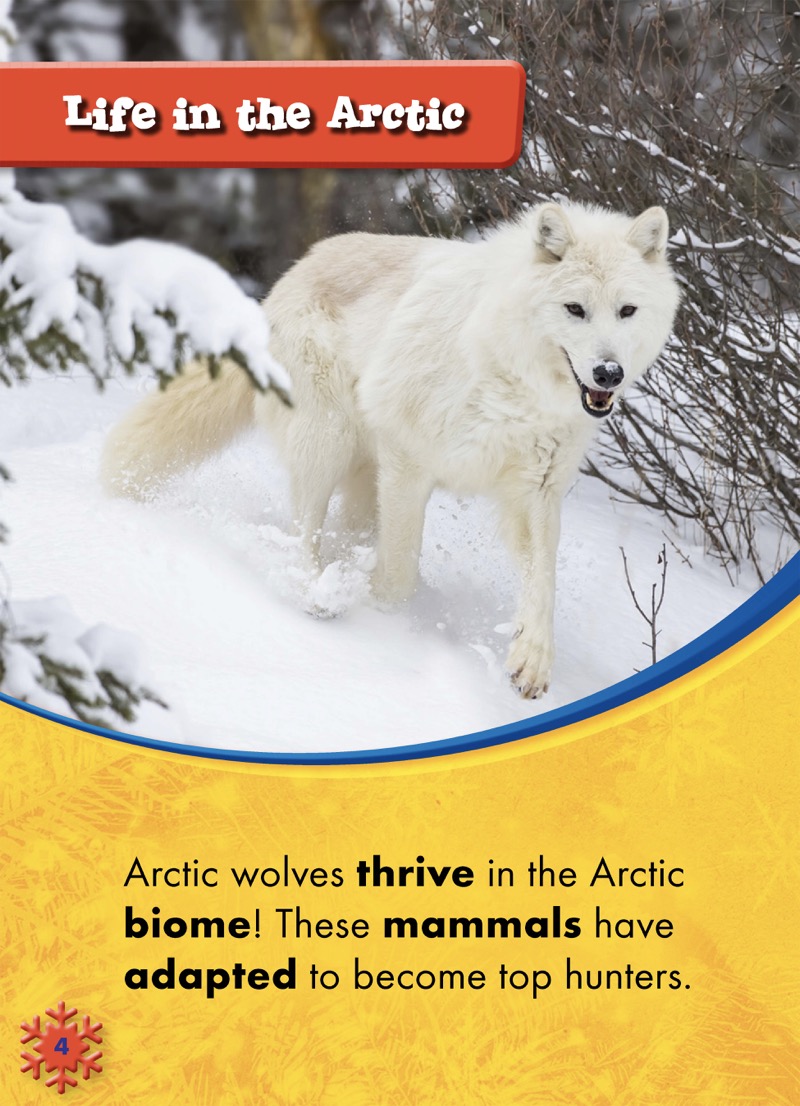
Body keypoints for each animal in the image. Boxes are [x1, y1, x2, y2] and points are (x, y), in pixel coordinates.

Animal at [102, 202, 680, 699]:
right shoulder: (408, 463)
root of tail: (289, 277)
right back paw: (316, 595)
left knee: (339, 530)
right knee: (303, 531)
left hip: (360, 474)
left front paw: (531, 662)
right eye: (575, 309)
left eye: (626, 310)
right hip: (327, 441)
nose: (609, 373)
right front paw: (389, 627)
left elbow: (543, 581)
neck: (509, 378)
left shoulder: (536, 490)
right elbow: (399, 574)